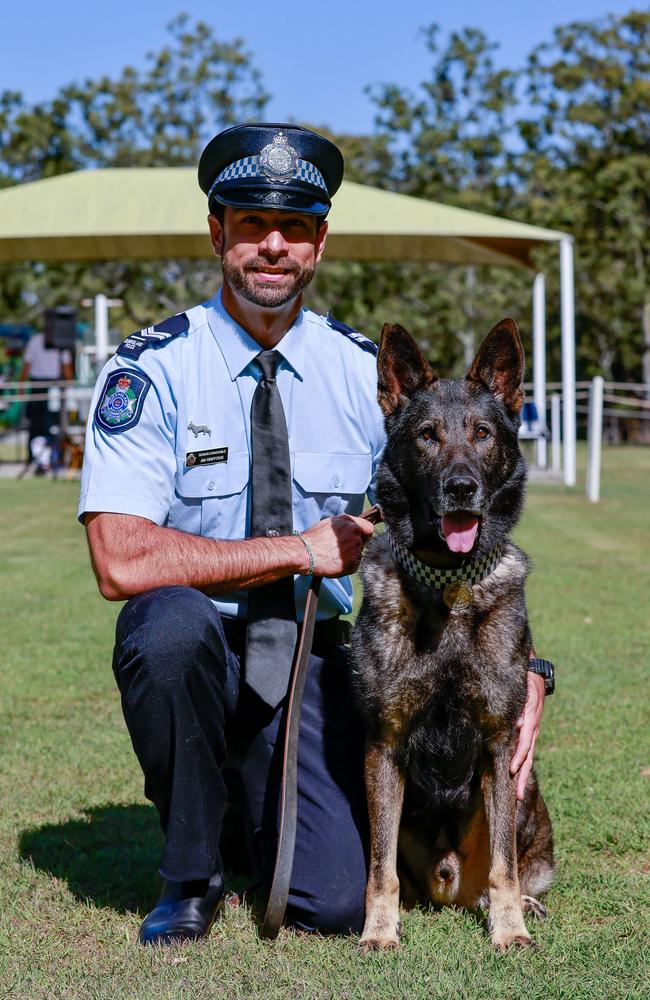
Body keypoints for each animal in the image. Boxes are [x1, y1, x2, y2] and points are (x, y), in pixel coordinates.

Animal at [352, 320, 556, 952]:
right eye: (427, 436)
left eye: (483, 433)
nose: (461, 487)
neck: (449, 586)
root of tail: (448, 887)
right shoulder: (384, 744)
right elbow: (380, 866)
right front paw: (379, 931)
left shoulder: (500, 744)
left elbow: (505, 865)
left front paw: (509, 930)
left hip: (525, 790)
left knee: (509, 865)